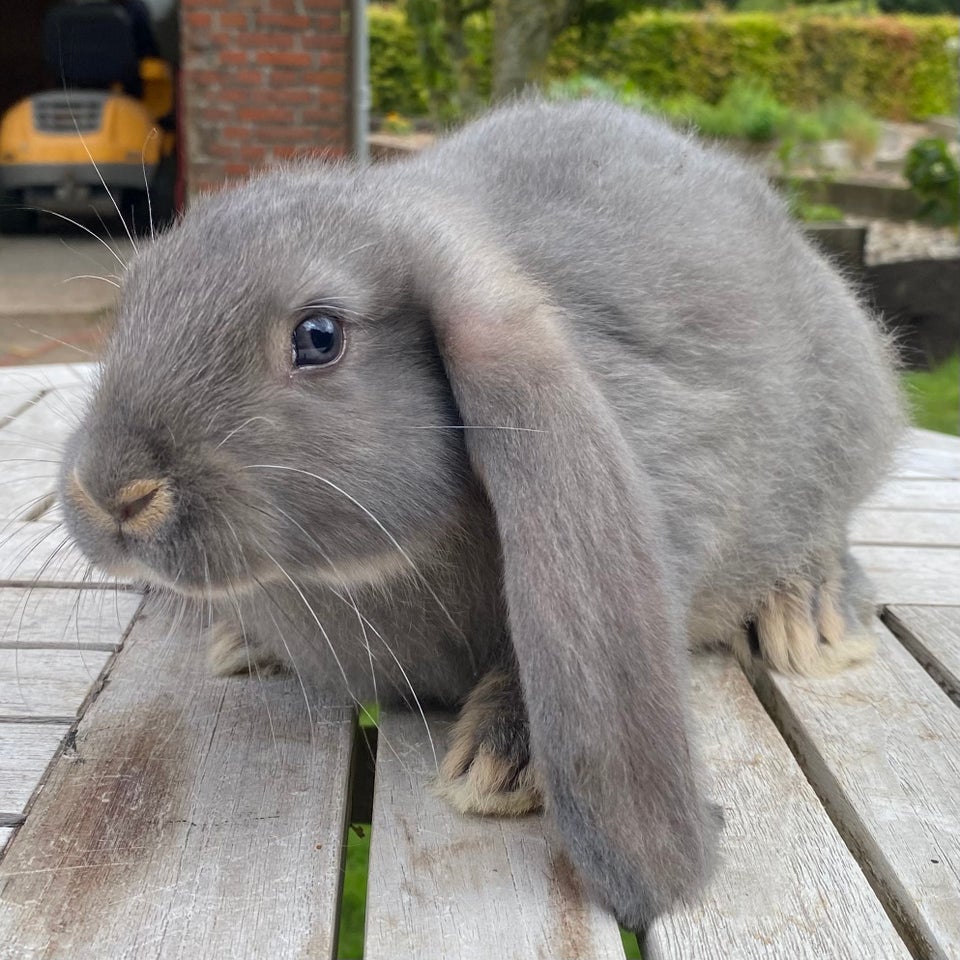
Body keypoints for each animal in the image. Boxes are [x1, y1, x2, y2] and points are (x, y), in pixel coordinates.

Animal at [58, 99, 900, 928]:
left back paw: (814, 616)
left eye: (319, 336)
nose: (113, 492)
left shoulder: (683, 483)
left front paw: (505, 759)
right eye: (133, 303)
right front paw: (244, 635)